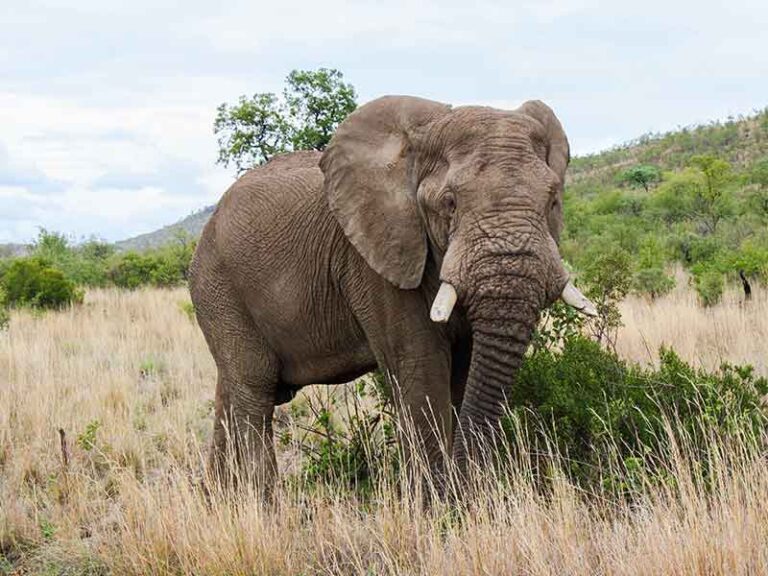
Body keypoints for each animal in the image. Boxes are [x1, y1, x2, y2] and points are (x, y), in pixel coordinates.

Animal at [189, 95, 596, 490]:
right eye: (449, 203)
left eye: (552, 200)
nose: (466, 483)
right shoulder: (373, 260)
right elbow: (421, 367)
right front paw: (439, 503)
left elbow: (464, 368)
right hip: (217, 287)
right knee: (254, 391)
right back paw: (260, 502)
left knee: (233, 393)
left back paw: (219, 498)